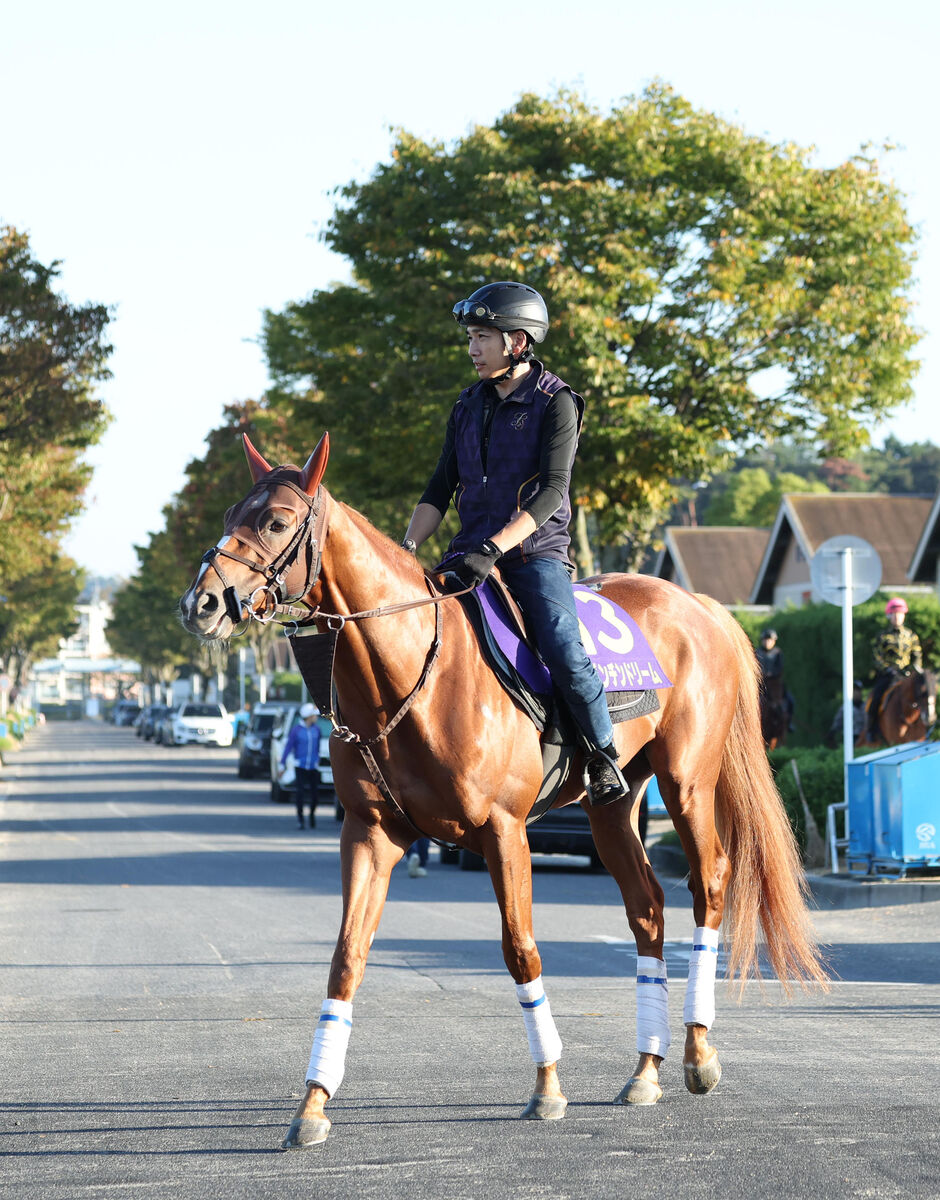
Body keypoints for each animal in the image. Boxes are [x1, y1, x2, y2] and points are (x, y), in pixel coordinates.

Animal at [180, 436, 825, 1147]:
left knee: (708, 885)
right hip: (612, 805)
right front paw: (314, 1103)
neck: (415, 672)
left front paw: (547, 1086)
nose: (201, 604)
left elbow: (520, 949)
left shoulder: (503, 830)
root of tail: (699, 606)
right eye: (233, 512)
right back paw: (646, 1069)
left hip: (687, 784)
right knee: (648, 908)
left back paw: (697, 1052)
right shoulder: (369, 833)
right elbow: (347, 958)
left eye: (276, 522)